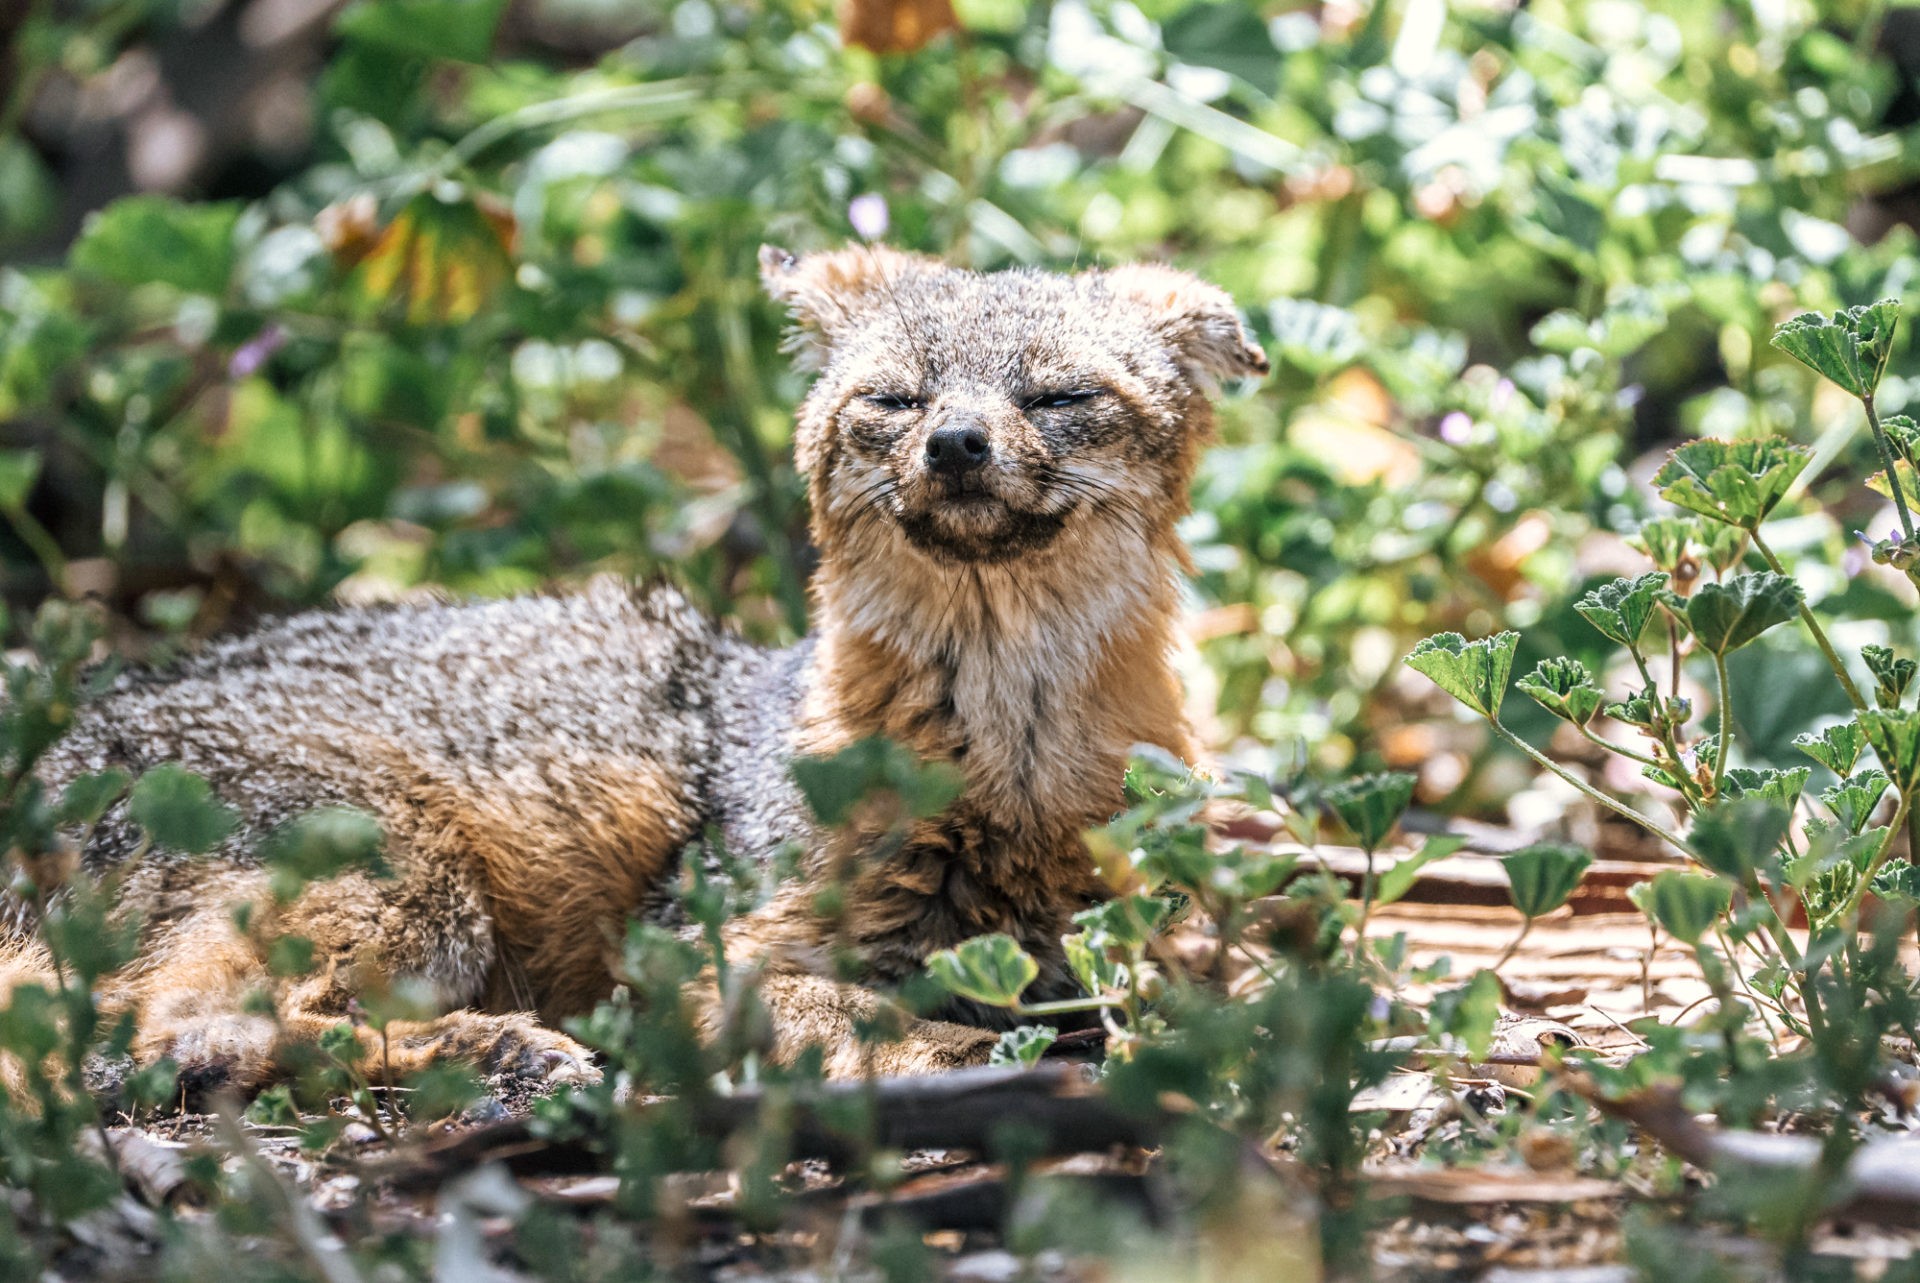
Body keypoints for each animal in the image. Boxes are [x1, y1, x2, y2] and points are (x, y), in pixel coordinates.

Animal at [3, 247, 1274, 1090]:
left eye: (1056, 396)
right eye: (896, 399)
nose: (956, 444)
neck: (1006, 769)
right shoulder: (715, 946)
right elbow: (848, 1009)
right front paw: (969, 1048)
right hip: (412, 884)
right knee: (175, 1027)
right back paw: (496, 1047)